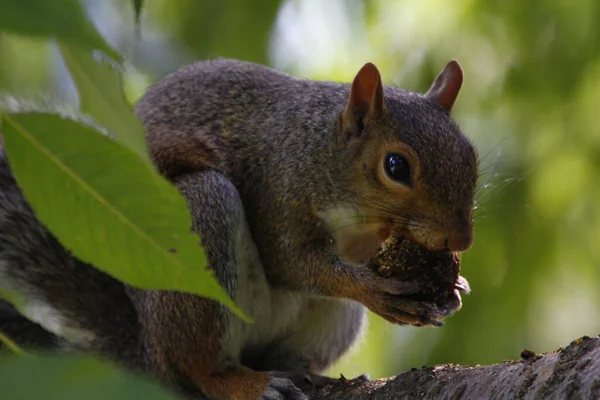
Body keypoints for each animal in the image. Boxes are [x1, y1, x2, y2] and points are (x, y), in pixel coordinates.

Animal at [0, 57, 478, 398]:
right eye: (395, 166)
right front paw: (376, 291)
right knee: (200, 367)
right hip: (202, 225)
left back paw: (310, 377)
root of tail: (149, 355)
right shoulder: (276, 188)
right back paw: (243, 382)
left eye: (470, 155)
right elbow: (291, 262)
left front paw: (452, 289)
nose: (460, 240)